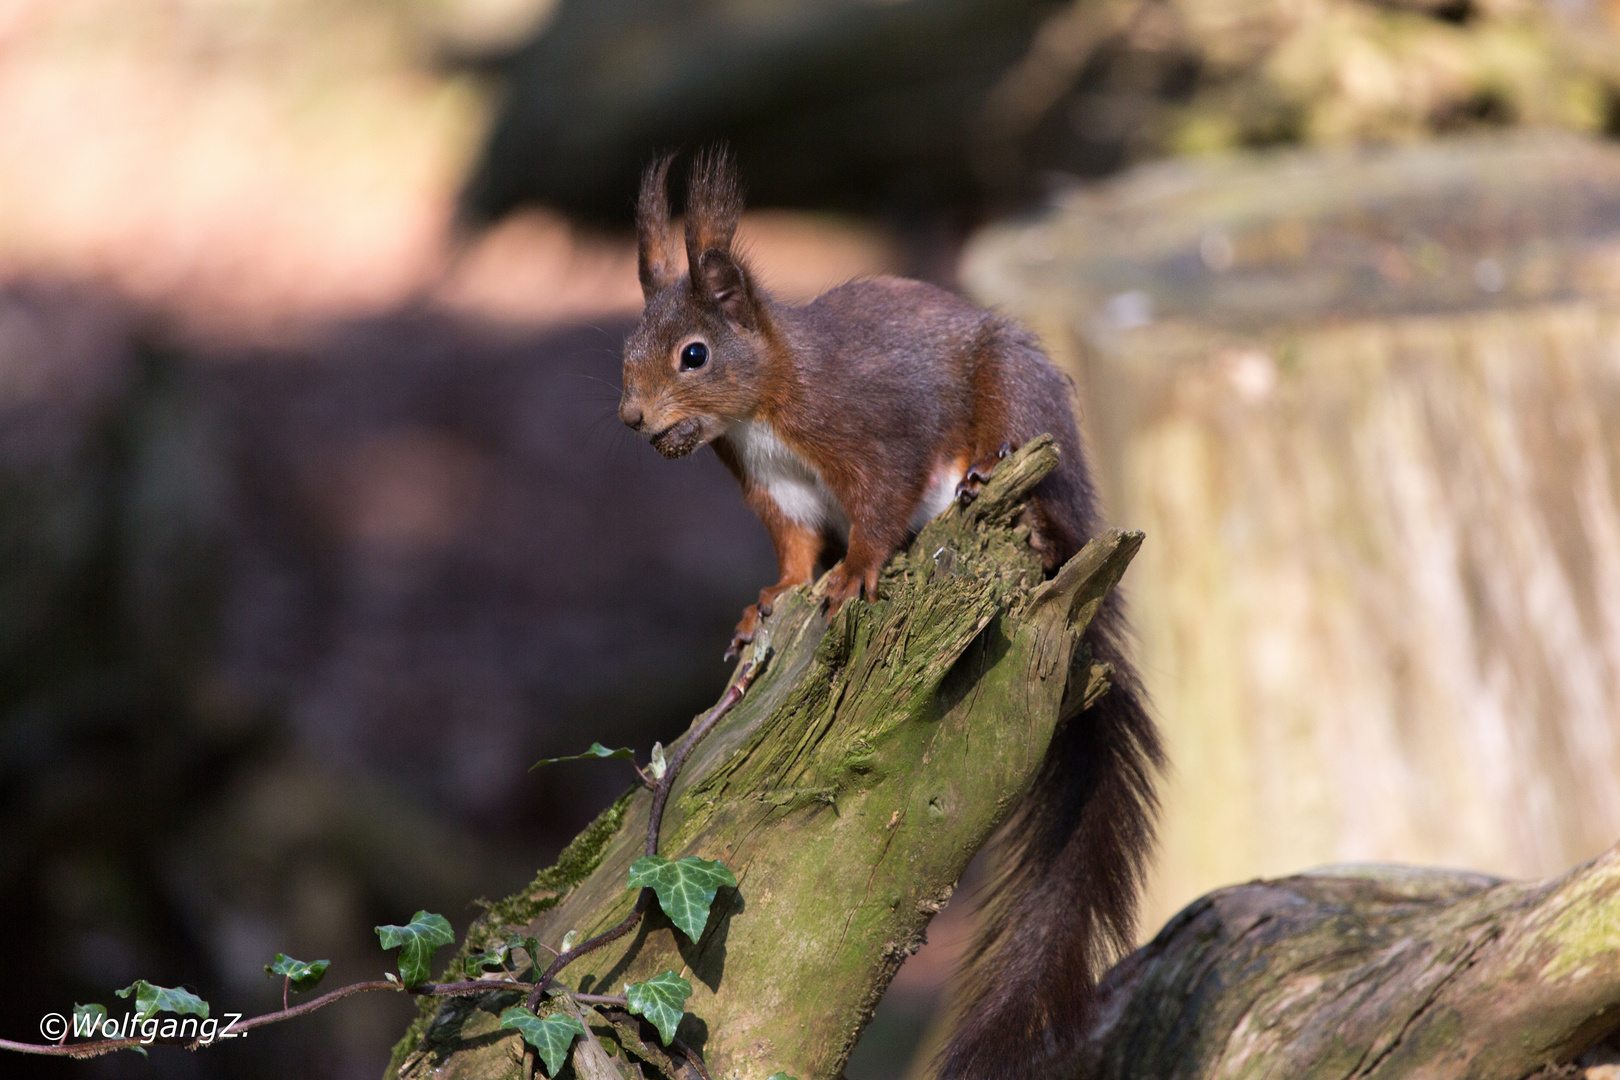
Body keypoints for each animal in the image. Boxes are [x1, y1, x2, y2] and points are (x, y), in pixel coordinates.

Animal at [612, 152, 1159, 1080]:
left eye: (694, 354)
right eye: (625, 350)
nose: (633, 420)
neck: (763, 410)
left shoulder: (874, 437)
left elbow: (876, 509)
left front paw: (854, 577)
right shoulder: (779, 493)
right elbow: (795, 553)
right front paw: (772, 601)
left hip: (1022, 408)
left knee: (1047, 514)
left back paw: (1011, 502)